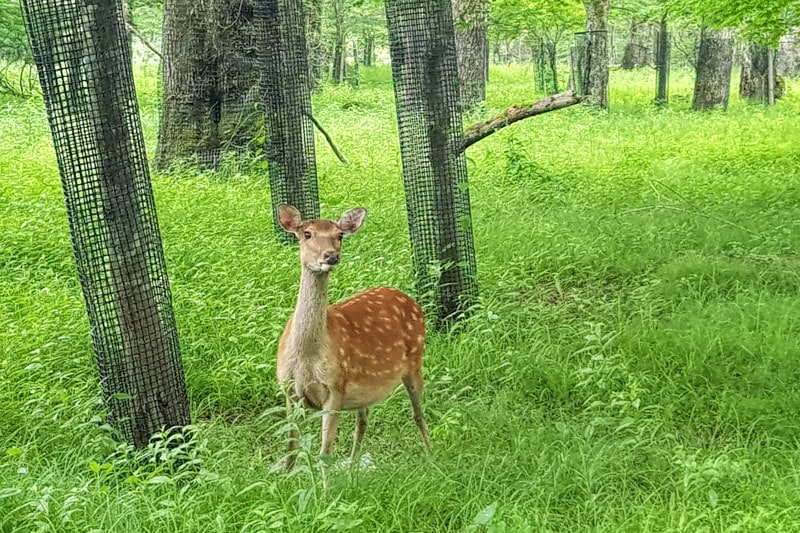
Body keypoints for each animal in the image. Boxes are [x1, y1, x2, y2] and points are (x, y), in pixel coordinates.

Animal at [278, 202, 434, 480]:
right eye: (307, 233)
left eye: (339, 235)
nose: (331, 256)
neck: (306, 356)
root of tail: (410, 299)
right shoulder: (288, 389)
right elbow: (291, 449)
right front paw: (285, 482)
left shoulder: (335, 386)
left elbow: (324, 453)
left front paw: (326, 489)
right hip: (365, 389)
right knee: (363, 421)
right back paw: (352, 470)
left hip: (415, 360)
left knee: (418, 413)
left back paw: (432, 458)